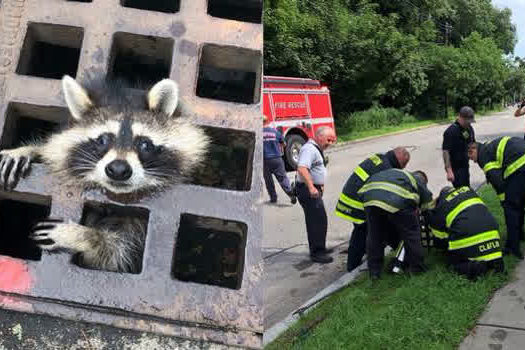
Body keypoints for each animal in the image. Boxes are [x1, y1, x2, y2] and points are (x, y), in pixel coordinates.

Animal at [0, 75, 209, 272]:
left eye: (144, 144)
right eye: (102, 140)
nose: (118, 169)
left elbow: (115, 254)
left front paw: (85, 235)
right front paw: (29, 150)